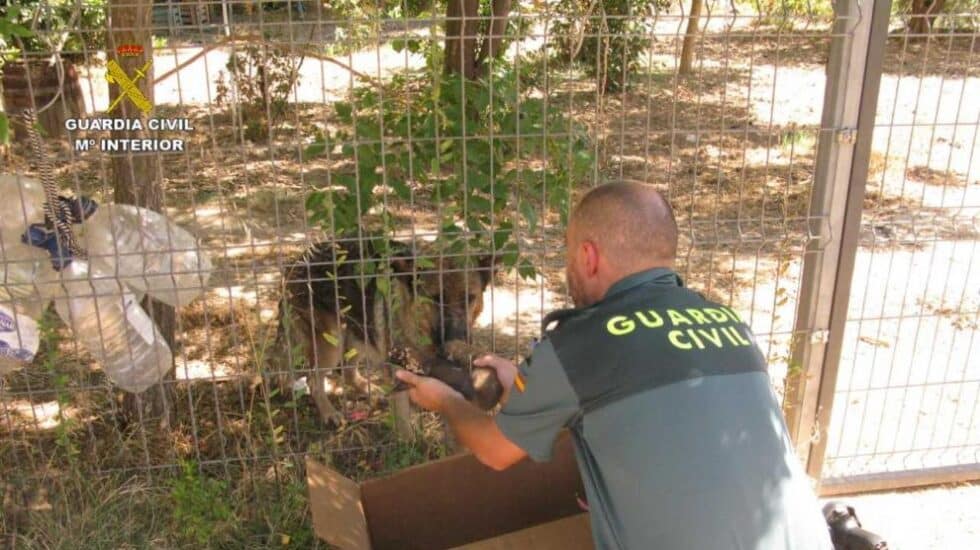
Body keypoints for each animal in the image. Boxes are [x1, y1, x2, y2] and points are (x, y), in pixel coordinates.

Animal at [274, 239, 498, 424]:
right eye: (435, 298)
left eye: (469, 298)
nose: (458, 338)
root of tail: (297, 262)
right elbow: (404, 422)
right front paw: (410, 445)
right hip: (331, 343)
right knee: (314, 380)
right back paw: (329, 413)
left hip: (359, 334)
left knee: (347, 371)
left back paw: (369, 390)